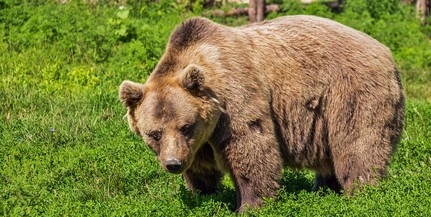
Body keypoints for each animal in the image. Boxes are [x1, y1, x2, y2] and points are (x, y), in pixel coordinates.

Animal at [118, 14, 404, 211]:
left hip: (351, 93)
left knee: (358, 145)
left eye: (186, 126)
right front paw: (203, 193)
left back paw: (362, 192)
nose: (173, 164)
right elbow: (201, 168)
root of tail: (387, 52)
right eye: (154, 133)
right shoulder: (199, 142)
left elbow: (251, 148)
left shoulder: (236, 99)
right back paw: (324, 189)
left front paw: (250, 204)